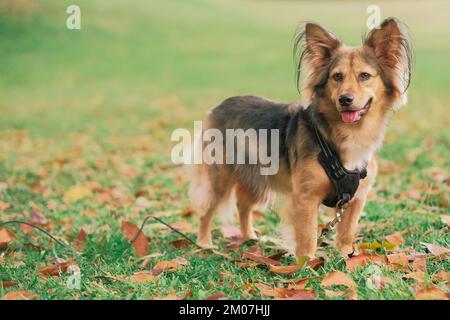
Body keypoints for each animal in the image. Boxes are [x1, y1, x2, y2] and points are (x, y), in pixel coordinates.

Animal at [188, 17, 414, 258]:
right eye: (337, 76)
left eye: (365, 76)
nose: (345, 99)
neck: (348, 135)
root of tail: (217, 107)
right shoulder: (306, 198)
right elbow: (307, 237)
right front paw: (307, 262)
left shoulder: (355, 199)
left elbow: (347, 232)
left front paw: (345, 257)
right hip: (220, 178)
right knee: (207, 210)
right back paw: (204, 242)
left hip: (256, 178)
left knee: (243, 205)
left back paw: (249, 237)